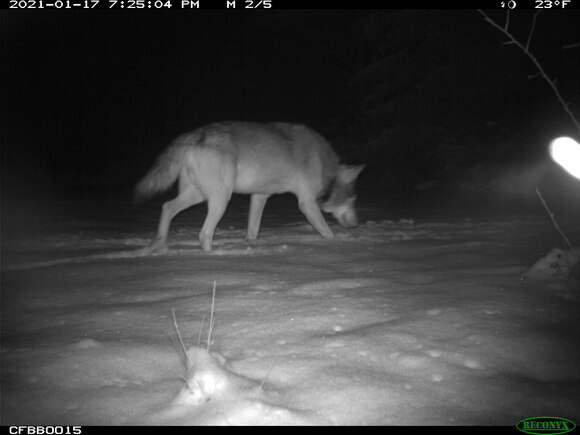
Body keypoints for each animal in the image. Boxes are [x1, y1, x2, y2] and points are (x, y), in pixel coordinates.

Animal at [134, 121, 364, 254]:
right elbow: (328, 232)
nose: (356, 225)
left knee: (166, 207)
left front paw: (250, 246)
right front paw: (338, 244)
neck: (325, 165)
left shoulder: (259, 196)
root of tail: (197, 133)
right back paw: (211, 256)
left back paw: (159, 245)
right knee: (204, 233)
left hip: (197, 196)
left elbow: (252, 230)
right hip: (220, 200)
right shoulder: (306, 203)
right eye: (354, 200)